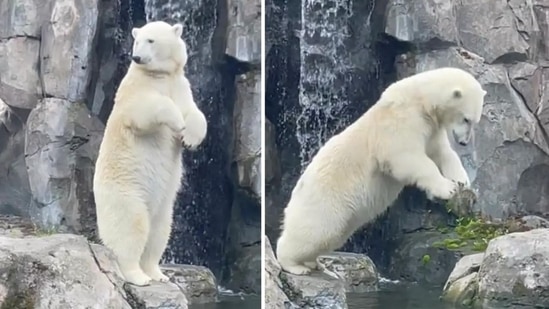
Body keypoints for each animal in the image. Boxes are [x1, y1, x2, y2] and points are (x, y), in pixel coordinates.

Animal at [93, 20, 207, 286]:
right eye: (137, 40)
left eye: (151, 40)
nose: (136, 57)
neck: (160, 75)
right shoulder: (134, 89)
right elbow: (144, 110)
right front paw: (177, 121)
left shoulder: (181, 85)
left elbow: (195, 112)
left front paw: (189, 138)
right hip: (125, 192)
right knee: (132, 227)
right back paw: (138, 276)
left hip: (164, 204)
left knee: (160, 230)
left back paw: (157, 273)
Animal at [276, 67, 486, 274]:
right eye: (466, 119)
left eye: (475, 121)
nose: (464, 142)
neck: (420, 99)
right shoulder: (401, 122)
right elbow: (407, 157)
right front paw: (447, 189)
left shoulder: (431, 128)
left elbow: (442, 153)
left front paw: (461, 180)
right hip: (324, 201)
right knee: (315, 230)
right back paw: (294, 265)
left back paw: (311, 263)